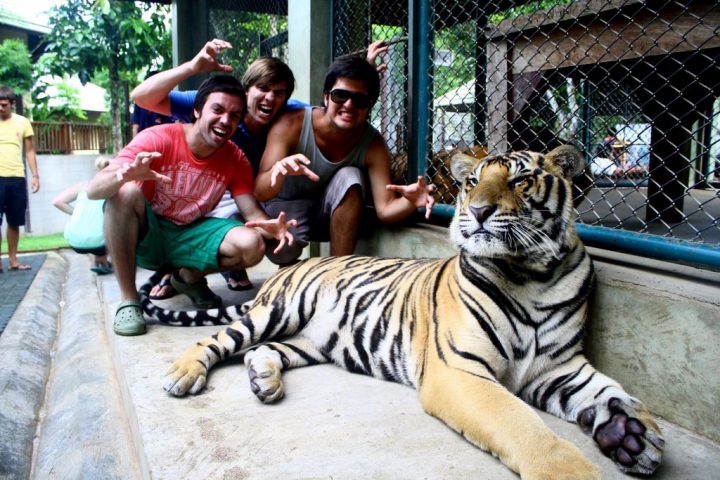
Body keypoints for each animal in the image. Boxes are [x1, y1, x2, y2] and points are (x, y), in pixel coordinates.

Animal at [141, 146, 664, 479]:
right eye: (472, 181)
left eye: (519, 179)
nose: (477, 211)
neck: (534, 273)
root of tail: (288, 271)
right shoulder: (459, 371)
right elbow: (524, 427)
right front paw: (575, 469)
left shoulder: (559, 368)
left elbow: (613, 392)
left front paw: (632, 434)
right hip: (279, 310)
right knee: (218, 340)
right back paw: (182, 374)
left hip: (309, 340)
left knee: (262, 351)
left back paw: (264, 380)